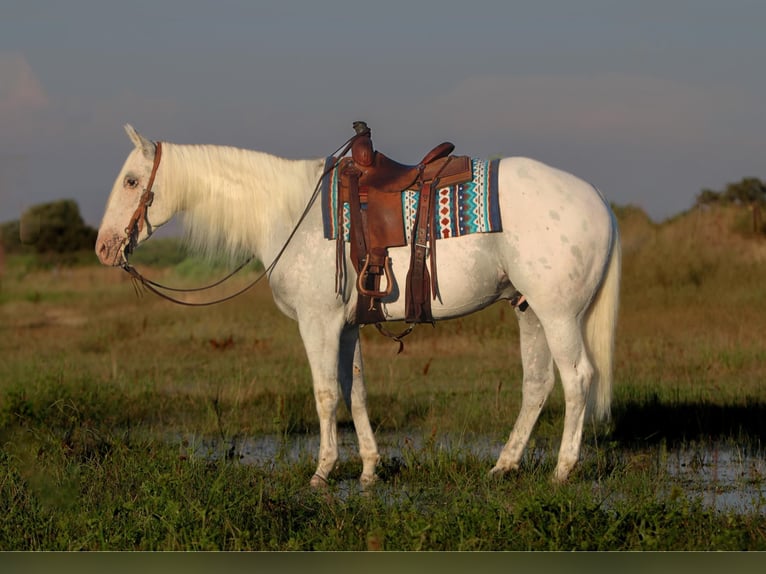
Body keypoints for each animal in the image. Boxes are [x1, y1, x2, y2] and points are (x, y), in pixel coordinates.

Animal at [97, 124, 624, 488]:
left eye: (131, 181)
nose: (103, 248)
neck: (289, 212)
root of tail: (597, 197)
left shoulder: (319, 322)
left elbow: (326, 393)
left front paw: (323, 472)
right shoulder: (347, 325)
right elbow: (357, 392)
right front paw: (370, 469)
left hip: (559, 315)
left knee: (577, 378)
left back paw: (562, 471)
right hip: (528, 310)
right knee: (537, 385)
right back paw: (503, 465)